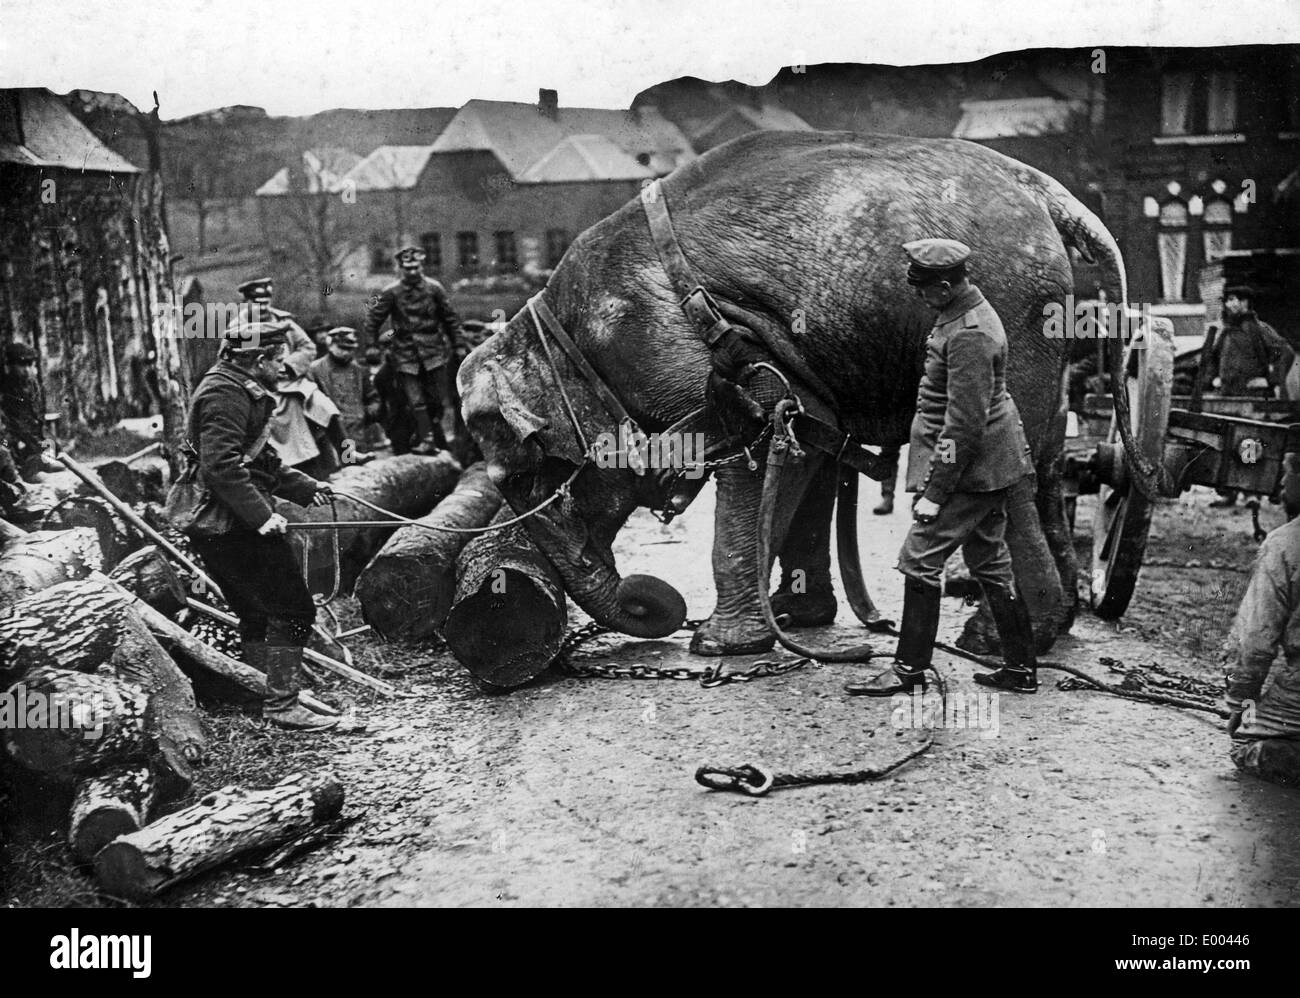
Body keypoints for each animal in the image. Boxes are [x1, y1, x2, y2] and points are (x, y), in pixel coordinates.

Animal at [460, 132, 1128, 660]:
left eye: (526, 477)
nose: (648, 601)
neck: (554, 330)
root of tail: (1048, 192)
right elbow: (813, 438)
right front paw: (794, 615)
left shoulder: (681, 349)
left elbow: (761, 446)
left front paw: (721, 644)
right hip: (1045, 335)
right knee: (1046, 458)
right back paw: (1055, 625)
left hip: (1007, 316)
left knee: (1003, 466)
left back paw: (996, 640)